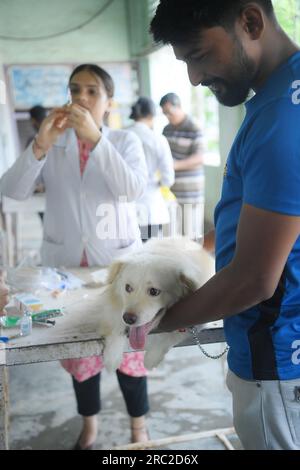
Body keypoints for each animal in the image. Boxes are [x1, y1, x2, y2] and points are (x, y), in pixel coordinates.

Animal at [99, 239, 214, 370]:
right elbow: (115, 325)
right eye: (128, 288)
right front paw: (112, 357)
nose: (128, 319)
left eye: (154, 291)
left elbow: (169, 337)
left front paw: (151, 359)